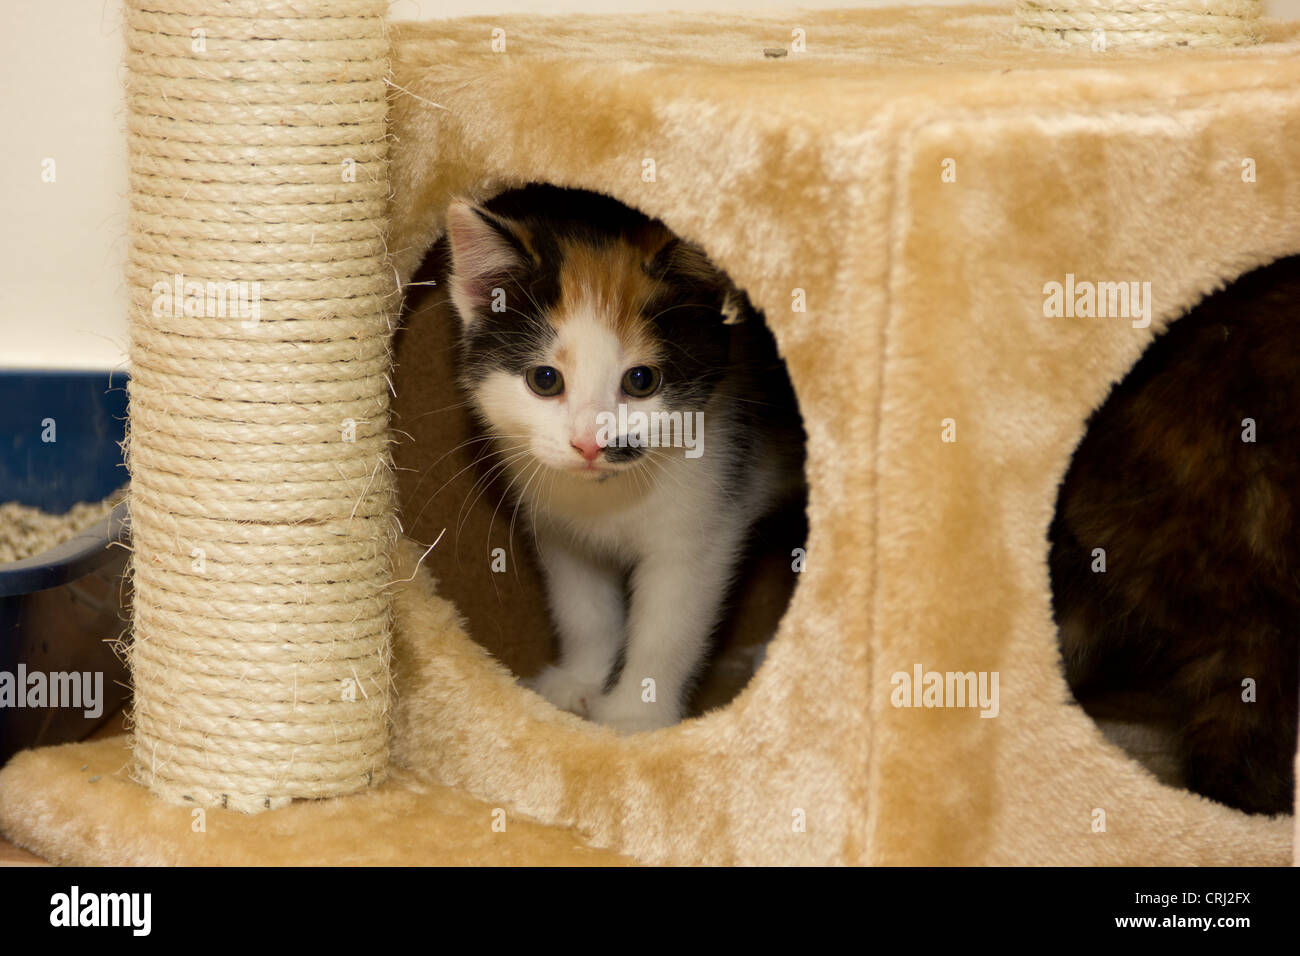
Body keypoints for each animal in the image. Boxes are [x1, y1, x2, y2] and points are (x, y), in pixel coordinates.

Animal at [441, 184, 800, 733]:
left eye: (641, 380)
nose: (590, 444)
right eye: (545, 380)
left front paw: (634, 716)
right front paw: (579, 682)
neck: (610, 497)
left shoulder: (706, 520)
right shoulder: (561, 528)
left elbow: (668, 630)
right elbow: (583, 609)